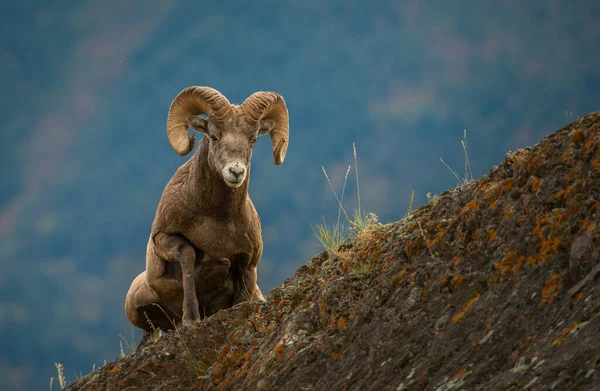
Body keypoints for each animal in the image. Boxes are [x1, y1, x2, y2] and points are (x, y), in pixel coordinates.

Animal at [124, 86, 288, 344]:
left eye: (252, 140)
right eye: (214, 136)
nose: (235, 171)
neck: (217, 220)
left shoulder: (247, 262)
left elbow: (241, 296)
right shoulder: (163, 239)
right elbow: (189, 256)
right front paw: (191, 318)